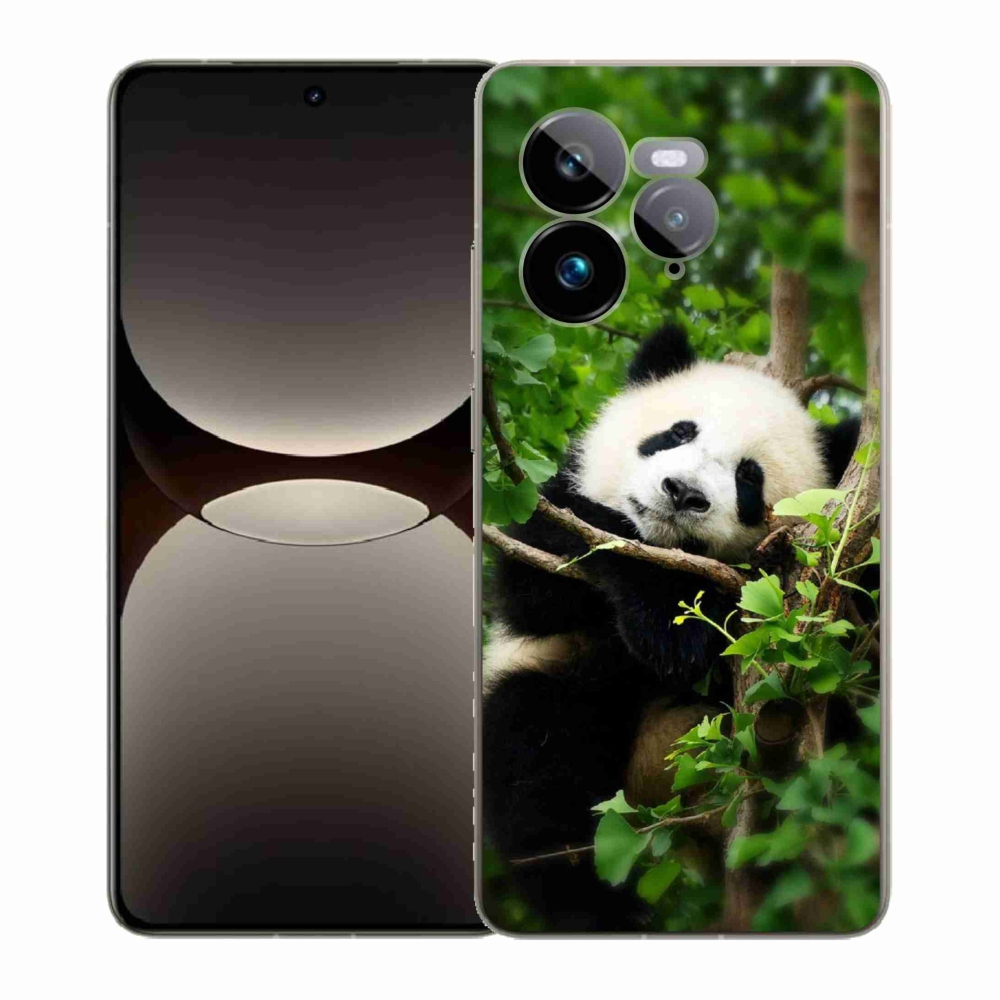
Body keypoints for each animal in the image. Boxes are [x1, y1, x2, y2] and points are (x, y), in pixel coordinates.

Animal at [481, 324, 859, 931]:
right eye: (678, 432)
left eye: (748, 478)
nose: (683, 493)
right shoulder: (544, 518)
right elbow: (542, 583)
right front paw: (672, 624)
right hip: (567, 695)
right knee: (537, 758)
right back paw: (599, 908)